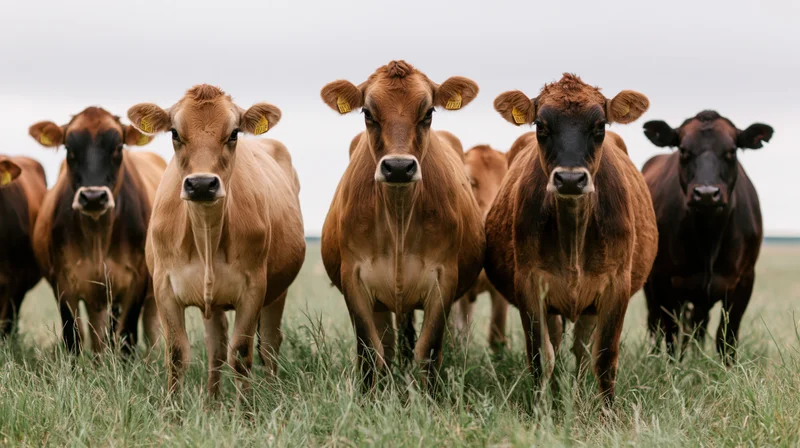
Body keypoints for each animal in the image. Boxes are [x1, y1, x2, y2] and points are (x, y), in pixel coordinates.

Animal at [29, 108, 165, 355]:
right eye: (69, 148)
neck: (98, 238)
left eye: (118, 147)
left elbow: (126, 336)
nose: (93, 197)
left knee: (151, 330)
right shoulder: (63, 283)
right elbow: (74, 337)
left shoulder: (136, 282)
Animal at [127, 85, 306, 397]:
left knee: (270, 343)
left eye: (234, 133)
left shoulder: (254, 289)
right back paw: (212, 402)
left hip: (277, 292)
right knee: (216, 348)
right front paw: (172, 408)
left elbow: (242, 354)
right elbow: (177, 354)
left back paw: (270, 391)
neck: (206, 235)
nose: (201, 184)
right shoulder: (163, 288)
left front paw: (246, 408)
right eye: (174, 132)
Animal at [319, 60, 485, 392]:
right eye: (368, 112)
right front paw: (371, 397)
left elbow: (428, 351)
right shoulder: (353, 279)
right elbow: (371, 351)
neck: (398, 216)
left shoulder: (444, 279)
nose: (398, 167)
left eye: (428, 112)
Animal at [486, 74, 658, 407]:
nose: (569, 179)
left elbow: (603, 359)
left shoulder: (616, 285)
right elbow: (541, 358)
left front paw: (607, 413)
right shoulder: (530, 285)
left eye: (600, 125)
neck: (574, 234)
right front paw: (541, 410)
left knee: (581, 351)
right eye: (541, 125)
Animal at [641, 110, 771, 363]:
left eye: (731, 150)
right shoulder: (663, 279)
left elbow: (727, 335)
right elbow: (670, 333)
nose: (707, 194)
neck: (709, 238)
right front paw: (673, 366)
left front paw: (727, 367)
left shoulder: (744, 280)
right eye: (683, 150)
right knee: (656, 324)